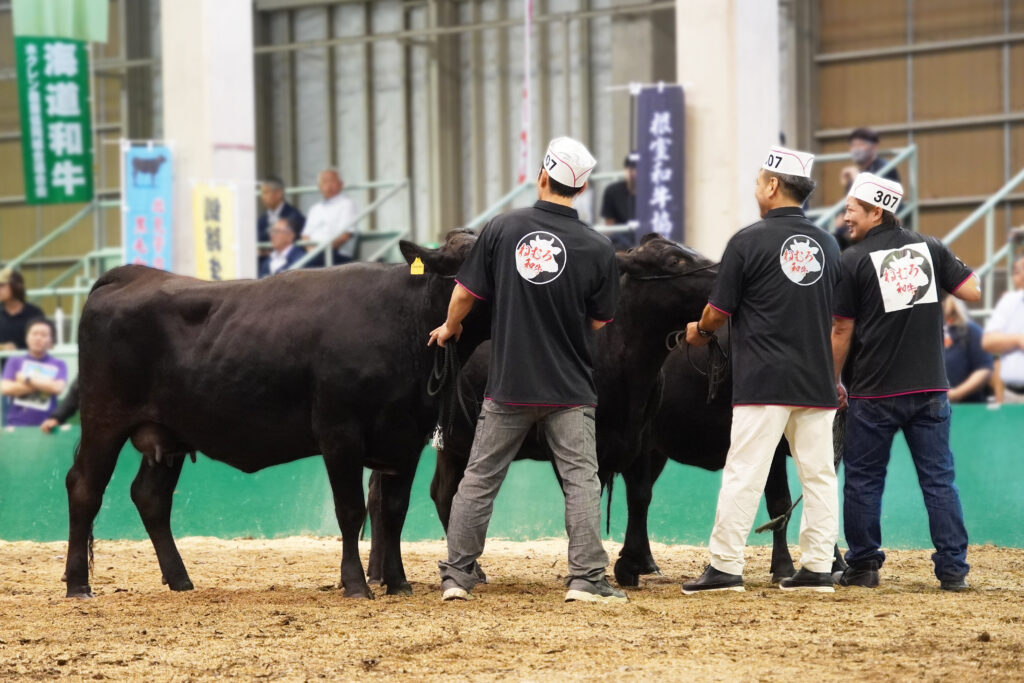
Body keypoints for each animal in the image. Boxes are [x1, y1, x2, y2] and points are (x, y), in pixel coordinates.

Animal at [64, 229, 487, 598]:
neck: (401, 322)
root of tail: (134, 274)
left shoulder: (405, 438)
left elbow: (393, 511)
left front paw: (398, 583)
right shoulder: (339, 433)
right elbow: (350, 510)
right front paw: (355, 584)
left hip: (167, 435)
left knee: (151, 497)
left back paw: (180, 579)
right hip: (104, 418)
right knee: (84, 487)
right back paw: (78, 584)